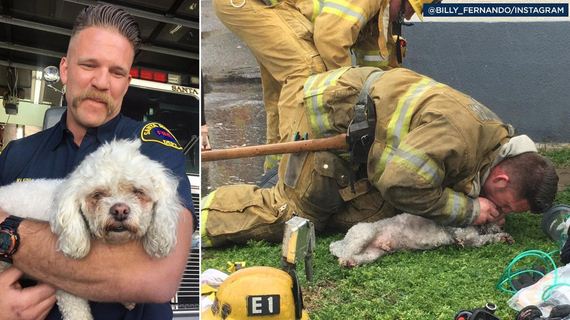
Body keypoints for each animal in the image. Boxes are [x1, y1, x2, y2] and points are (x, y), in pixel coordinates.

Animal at [326, 212, 512, 268]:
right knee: (344, 252)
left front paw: (504, 237)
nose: (503, 226)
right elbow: (485, 238)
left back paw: (352, 263)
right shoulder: (465, 237)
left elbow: (486, 238)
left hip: (372, 254)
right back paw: (345, 260)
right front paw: (500, 236)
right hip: (364, 233)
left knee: (358, 257)